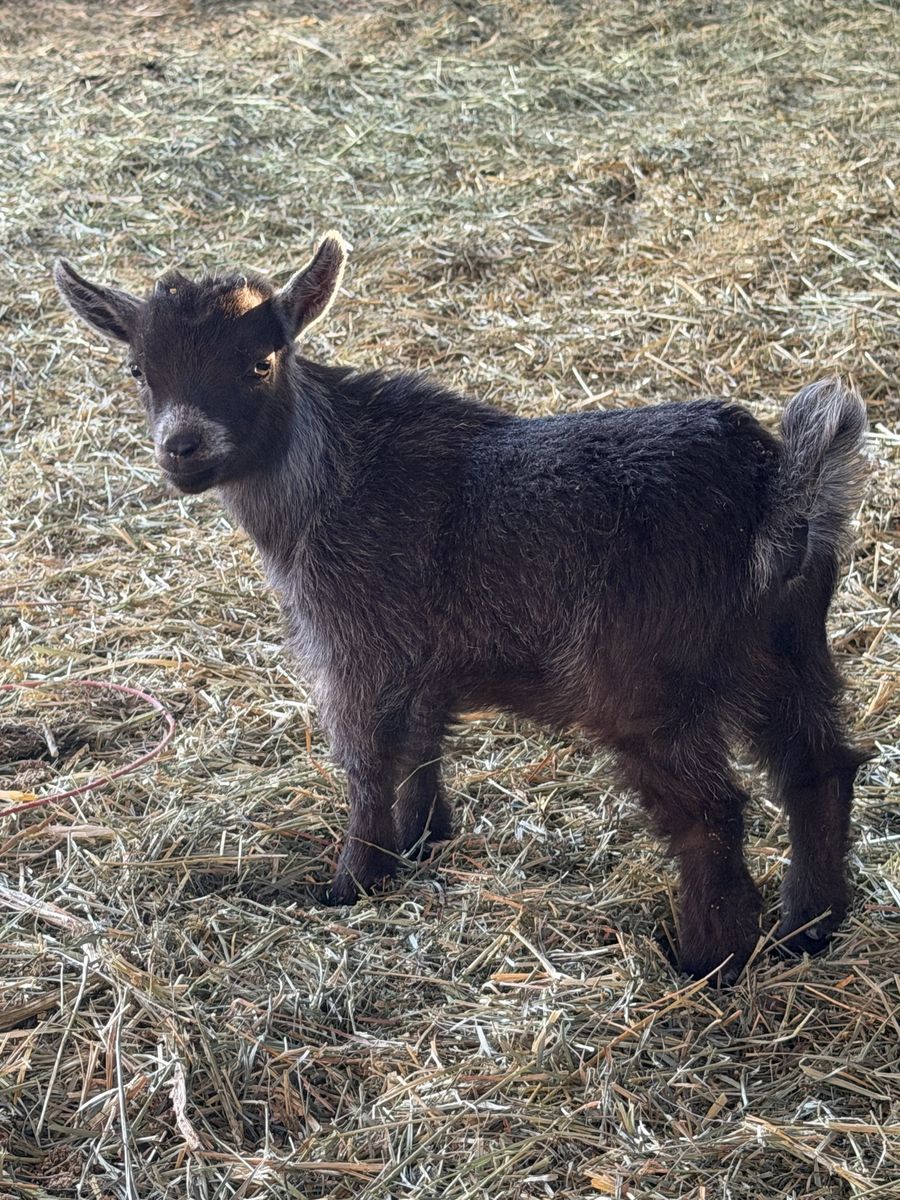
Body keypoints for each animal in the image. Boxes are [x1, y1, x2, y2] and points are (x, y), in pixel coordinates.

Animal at [54, 233, 868, 983]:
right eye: (138, 369)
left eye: (259, 362)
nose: (182, 448)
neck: (333, 478)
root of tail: (776, 494)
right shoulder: (425, 656)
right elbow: (422, 739)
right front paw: (424, 839)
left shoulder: (353, 647)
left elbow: (366, 762)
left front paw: (353, 881)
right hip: (788, 649)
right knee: (819, 767)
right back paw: (810, 926)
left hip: (649, 684)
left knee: (710, 812)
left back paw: (707, 959)